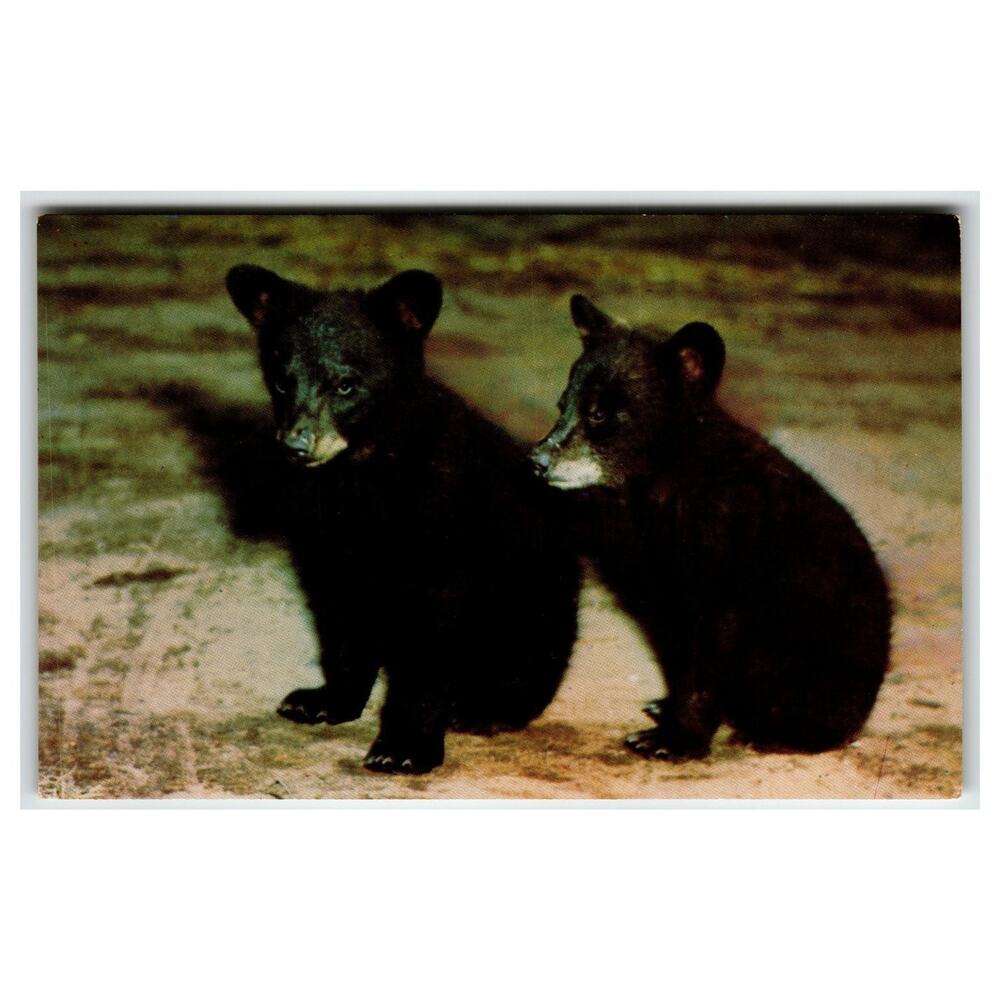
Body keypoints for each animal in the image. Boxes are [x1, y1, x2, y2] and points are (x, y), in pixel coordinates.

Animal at [225, 265, 580, 774]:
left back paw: (482, 707)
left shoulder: (441, 528)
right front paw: (323, 700)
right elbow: (343, 619)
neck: (364, 475)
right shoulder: (333, 541)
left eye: (346, 384)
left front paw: (404, 746)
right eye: (282, 381)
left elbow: (430, 644)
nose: (296, 444)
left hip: (532, 603)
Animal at [530, 293, 891, 761]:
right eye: (562, 406)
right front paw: (668, 711)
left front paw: (675, 740)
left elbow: (706, 666)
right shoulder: (668, 588)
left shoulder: (725, 581)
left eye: (599, 414)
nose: (537, 461)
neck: (676, 480)